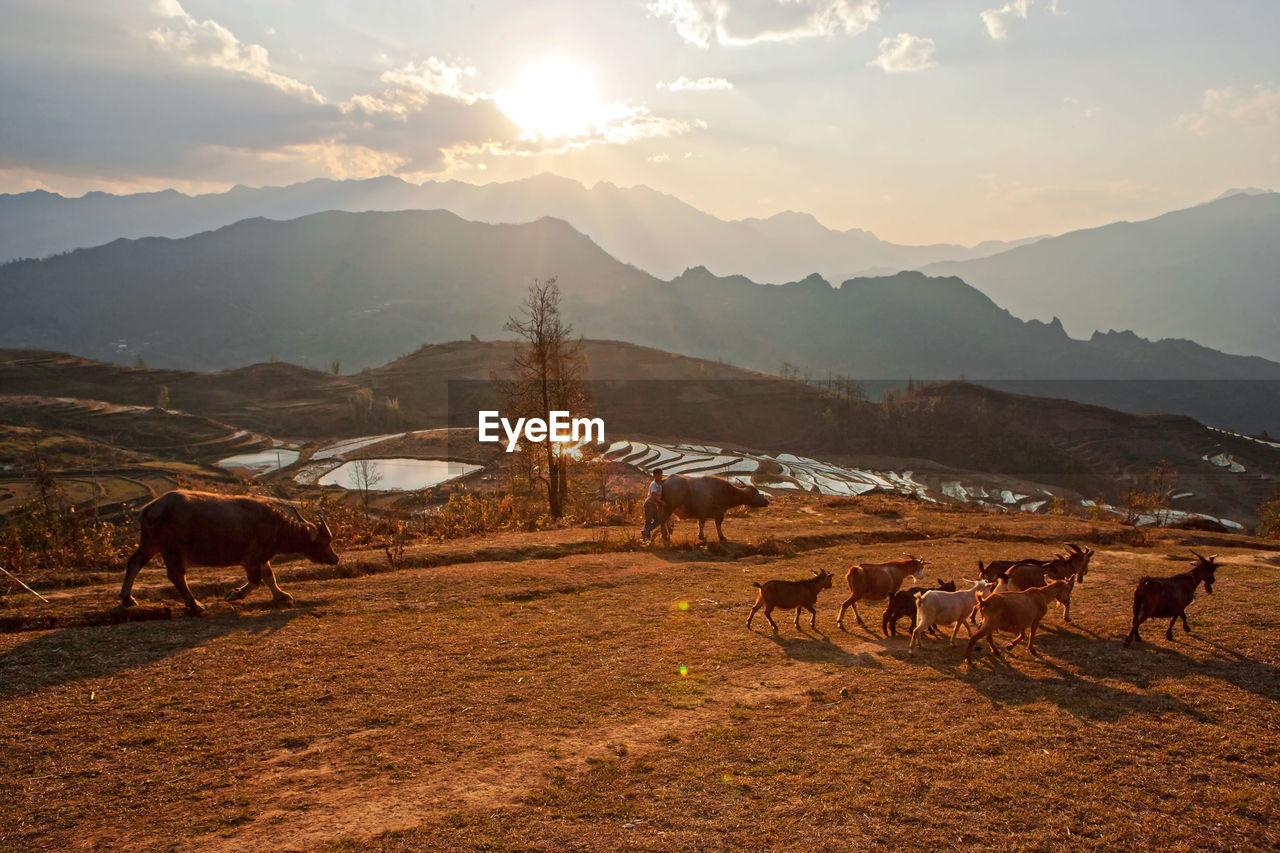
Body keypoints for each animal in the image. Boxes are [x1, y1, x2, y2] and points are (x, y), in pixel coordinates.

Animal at [119, 489, 340, 614]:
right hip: (171, 548)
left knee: (135, 562)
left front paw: (282, 595)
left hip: (151, 543)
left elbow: (270, 576)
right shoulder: (252, 558)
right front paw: (234, 594)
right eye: (323, 543)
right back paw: (195, 604)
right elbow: (255, 580)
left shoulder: (262, 558)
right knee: (176, 574)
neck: (277, 526)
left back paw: (127, 598)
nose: (335, 558)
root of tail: (152, 506)